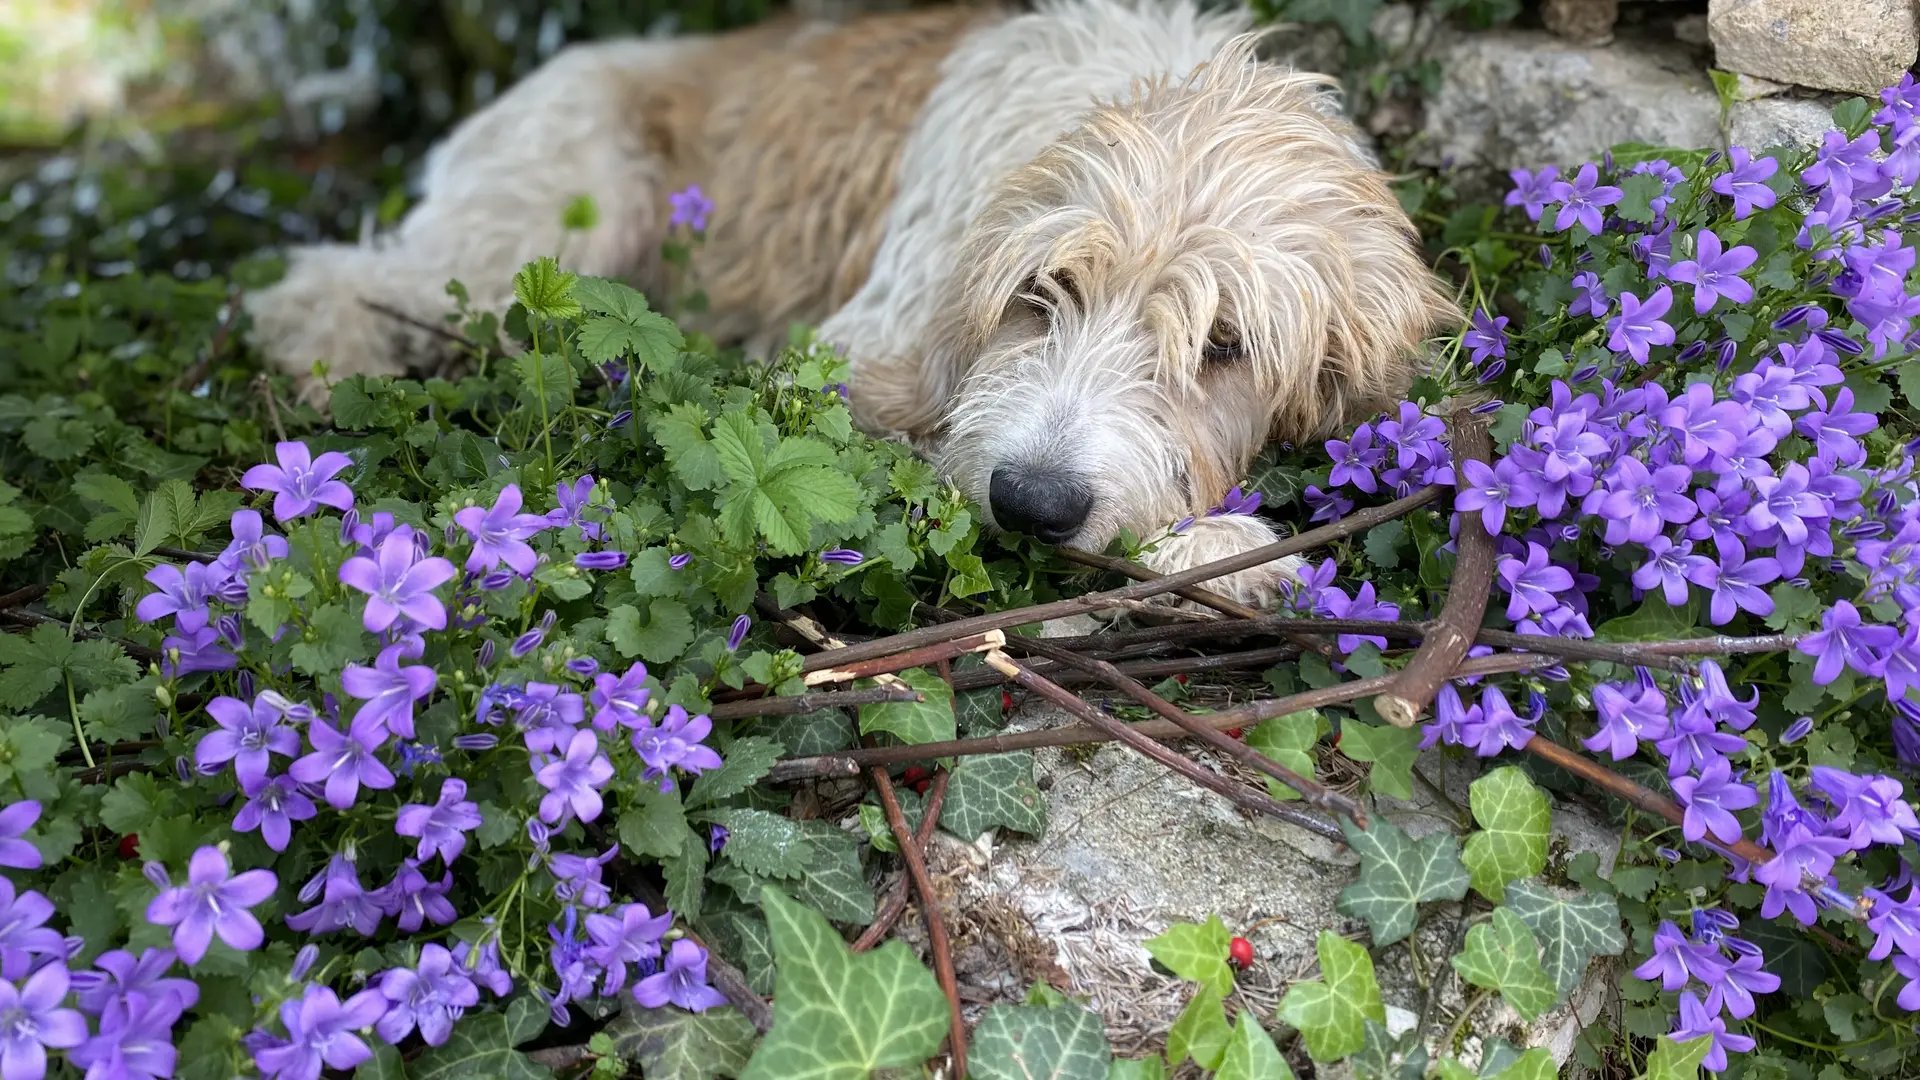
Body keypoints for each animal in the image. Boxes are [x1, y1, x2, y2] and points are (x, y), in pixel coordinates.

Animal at [251, 0, 1451, 607]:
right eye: (1040, 294)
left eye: (1225, 346)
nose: (1033, 503)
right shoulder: (848, 369)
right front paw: (1222, 550)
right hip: (540, 227)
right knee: (330, 285)